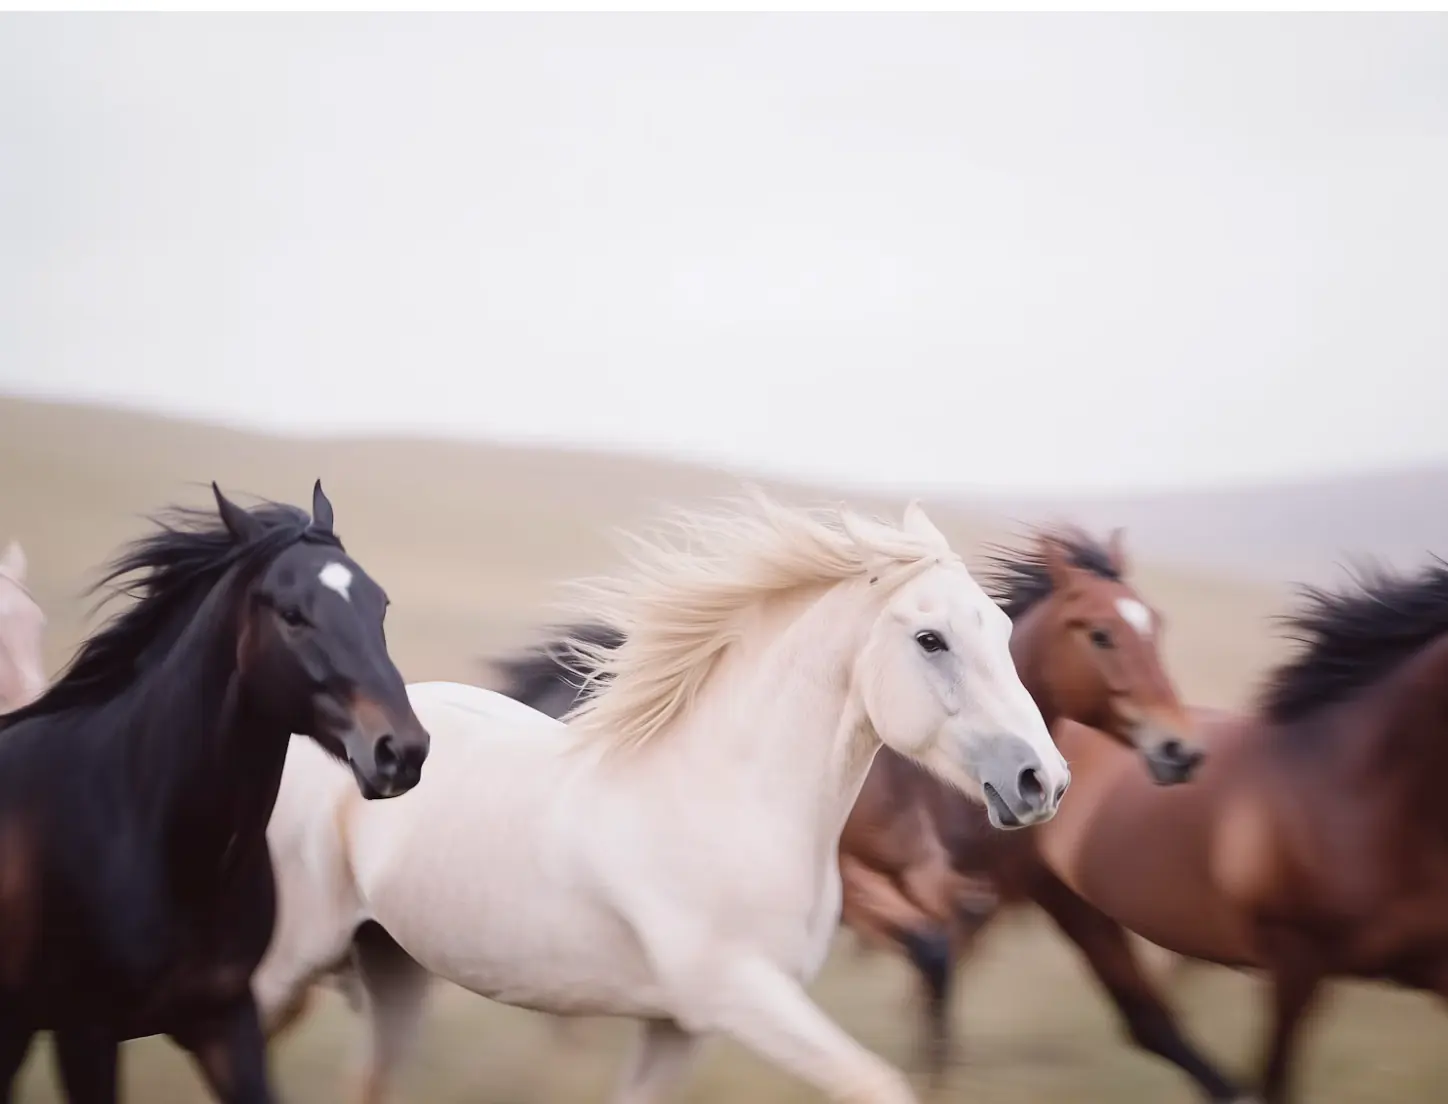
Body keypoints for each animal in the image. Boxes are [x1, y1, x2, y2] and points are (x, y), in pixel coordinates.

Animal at [252, 492, 1071, 1104]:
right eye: (931, 639)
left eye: (1003, 630)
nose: (1044, 781)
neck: (730, 802)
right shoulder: (741, 997)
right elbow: (876, 1084)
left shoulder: (681, 1026)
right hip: (289, 956)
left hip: (392, 967)